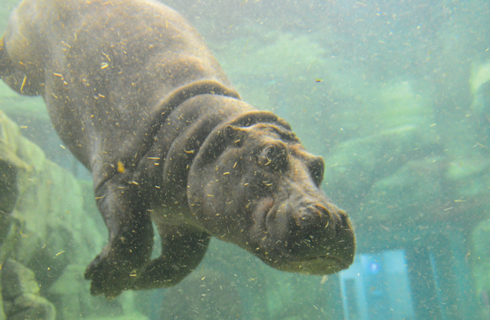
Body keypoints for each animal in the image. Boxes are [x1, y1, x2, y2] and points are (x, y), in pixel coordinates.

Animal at [0, 0, 356, 298]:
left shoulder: (182, 220)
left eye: (319, 166)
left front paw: (132, 282)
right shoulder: (115, 176)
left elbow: (180, 265)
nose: (333, 220)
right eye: (268, 155)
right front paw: (101, 280)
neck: (206, 134)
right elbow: (134, 238)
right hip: (23, 58)